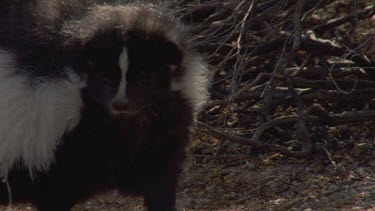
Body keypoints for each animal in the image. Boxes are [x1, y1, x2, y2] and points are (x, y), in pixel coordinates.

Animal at [0, 0, 212, 210]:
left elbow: (159, 180)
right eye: (105, 80)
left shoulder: (164, 131)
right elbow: (56, 193)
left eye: (146, 78)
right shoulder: (57, 148)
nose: (120, 104)